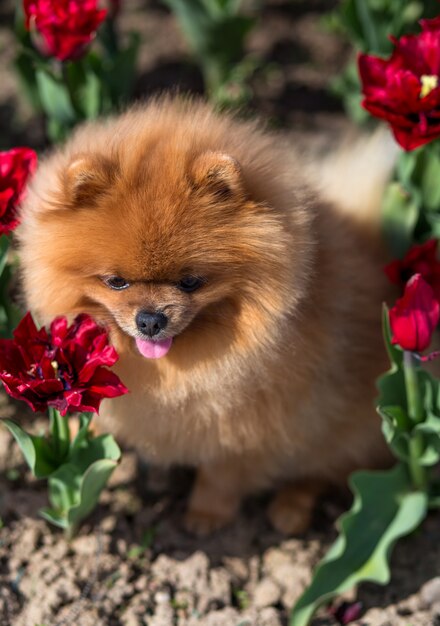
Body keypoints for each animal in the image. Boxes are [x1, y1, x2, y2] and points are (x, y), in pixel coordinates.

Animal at [18, 96, 396, 532]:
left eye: (190, 282)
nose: (151, 319)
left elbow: (222, 474)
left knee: (329, 471)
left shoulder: (252, 422)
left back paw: (290, 509)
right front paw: (75, 438)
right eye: (116, 282)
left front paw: (205, 516)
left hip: (349, 428)